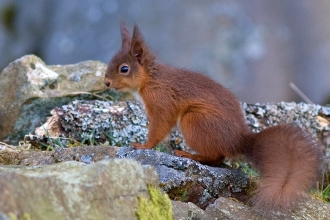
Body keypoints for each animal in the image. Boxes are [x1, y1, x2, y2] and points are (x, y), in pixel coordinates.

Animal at [104, 21, 320, 212]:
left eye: (124, 69)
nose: (106, 82)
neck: (151, 78)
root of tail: (238, 141)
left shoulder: (162, 101)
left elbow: (160, 125)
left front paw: (143, 145)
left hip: (194, 121)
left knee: (214, 157)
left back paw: (189, 154)